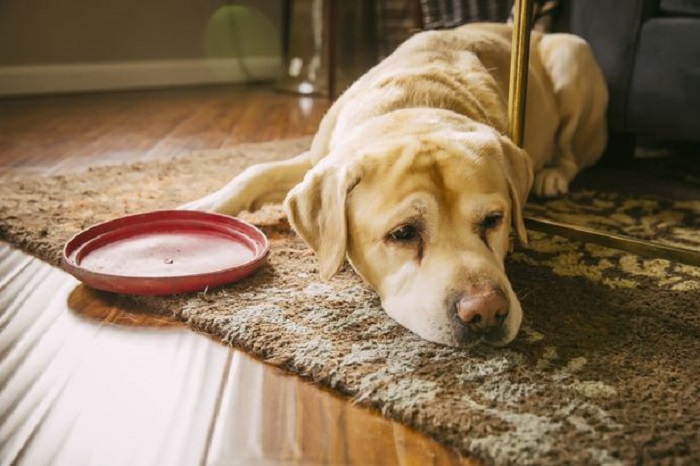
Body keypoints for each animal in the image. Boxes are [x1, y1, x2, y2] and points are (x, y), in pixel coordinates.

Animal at [185, 23, 608, 348]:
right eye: (403, 233)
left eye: (493, 220)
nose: (487, 311)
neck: (412, 106)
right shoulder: (316, 159)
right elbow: (256, 170)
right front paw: (201, 207)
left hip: (573, 55)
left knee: (571, 153)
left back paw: (552, 175)